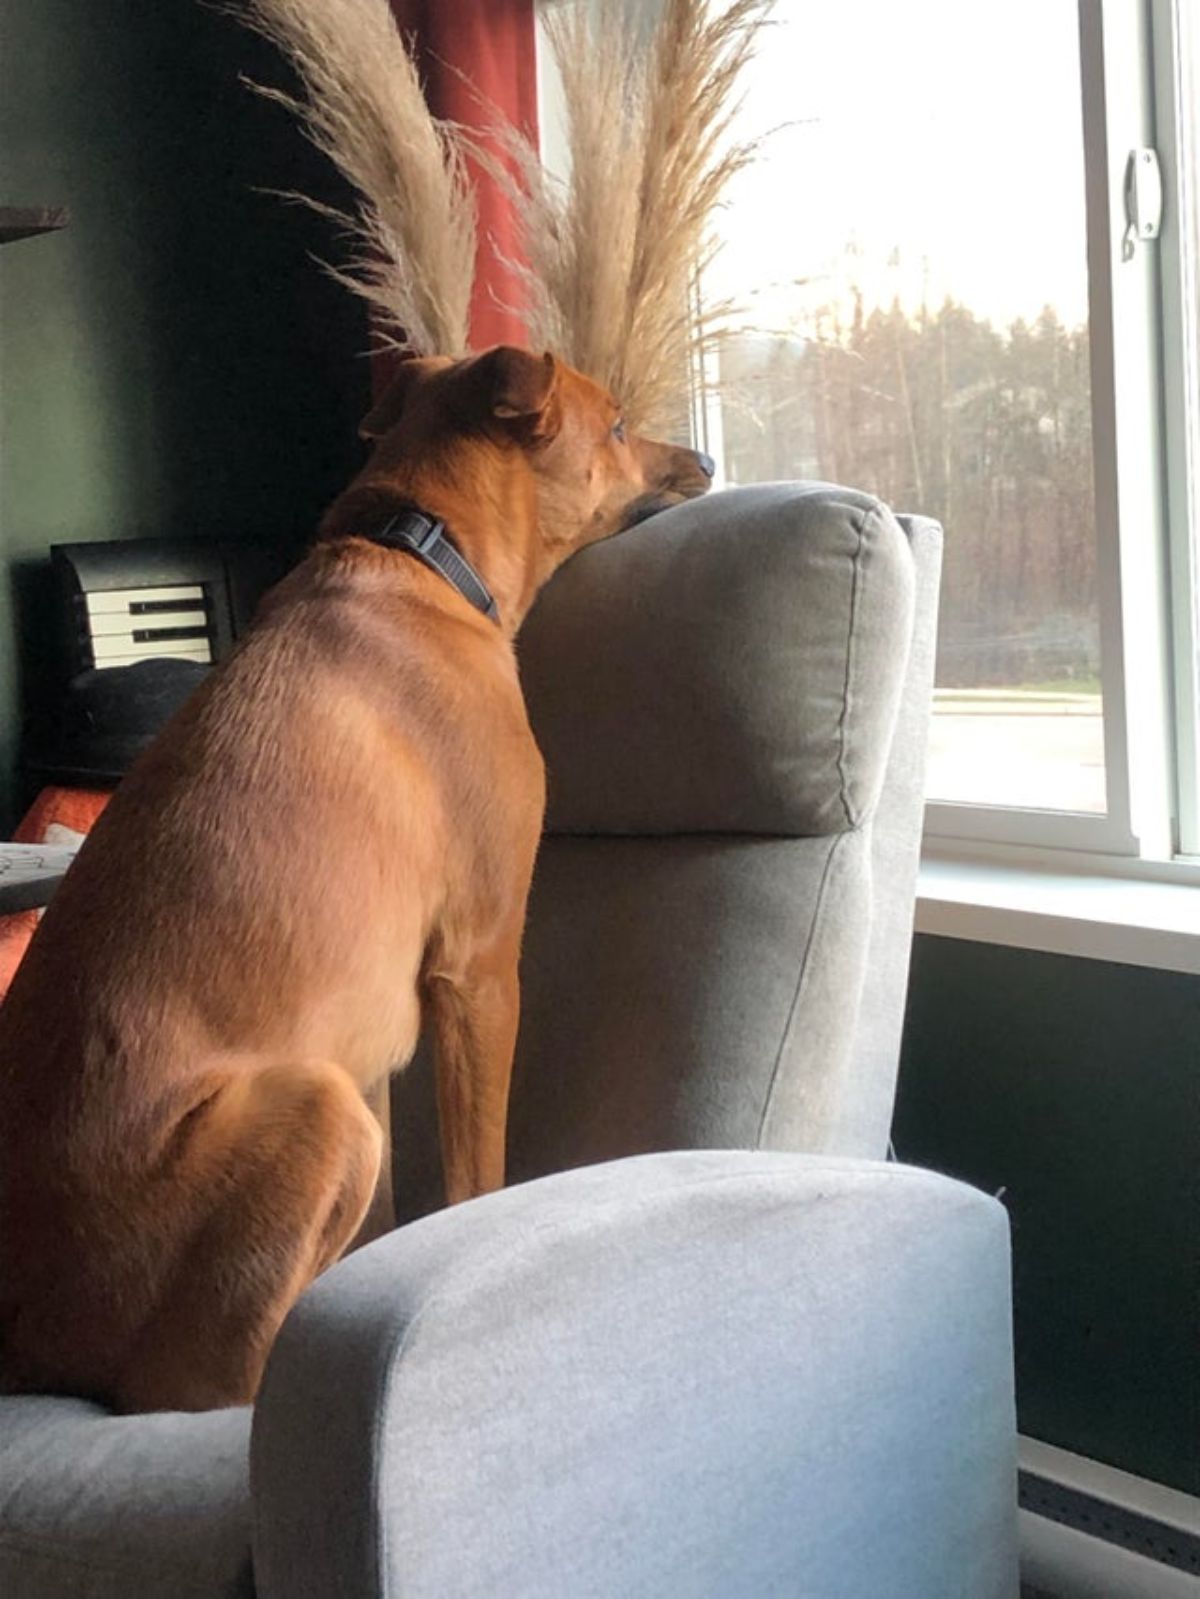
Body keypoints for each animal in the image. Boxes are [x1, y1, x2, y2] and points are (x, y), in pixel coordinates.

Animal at [0, 346, 713, 1413]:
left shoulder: (372, 1039)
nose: (705, 460)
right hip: (317, 1111)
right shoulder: (478, 970)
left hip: (340, 1096)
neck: (423, 556)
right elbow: (476, 1172)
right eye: (619, 426)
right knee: (205, 1381)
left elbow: (378, 1228)